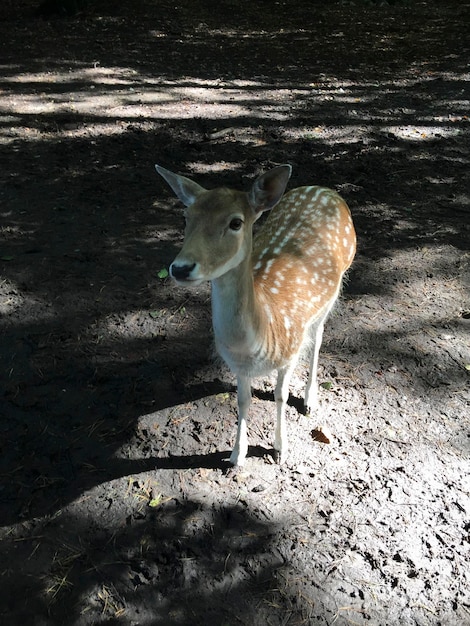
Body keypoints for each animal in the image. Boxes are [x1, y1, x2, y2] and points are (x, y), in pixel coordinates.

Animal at [155, 163, 356, 466]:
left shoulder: (291, 350)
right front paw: (237, 454)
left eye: (236, 222)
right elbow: (243, 400)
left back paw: (310, 399)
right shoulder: (238, 366)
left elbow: (280, 395)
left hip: (335, 289)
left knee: (318, 338)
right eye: (186, 216)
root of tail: (325, 189)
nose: (180, 268)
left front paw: (281, 449)